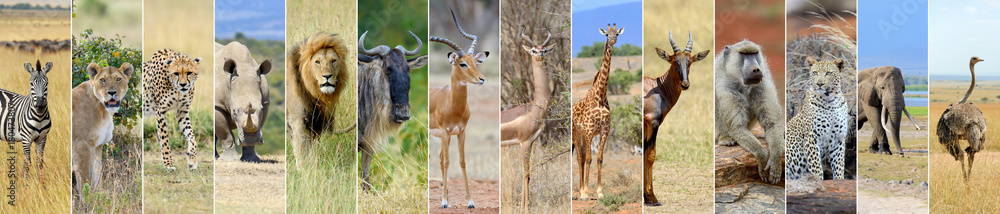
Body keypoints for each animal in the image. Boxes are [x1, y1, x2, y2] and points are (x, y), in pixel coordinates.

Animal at [576, 23, 620, 199]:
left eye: (617, 33)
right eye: (607, 34)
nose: (613, 39)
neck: (600, 96)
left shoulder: (604, 130)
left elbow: (600, 158)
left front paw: (600, 192)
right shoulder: (589, 131)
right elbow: (588, 159)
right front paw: (586, 193)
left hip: (583, 135)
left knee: (581, 156)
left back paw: (581, 190)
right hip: (576, 133)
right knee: (580, 158)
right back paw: (581, 191)